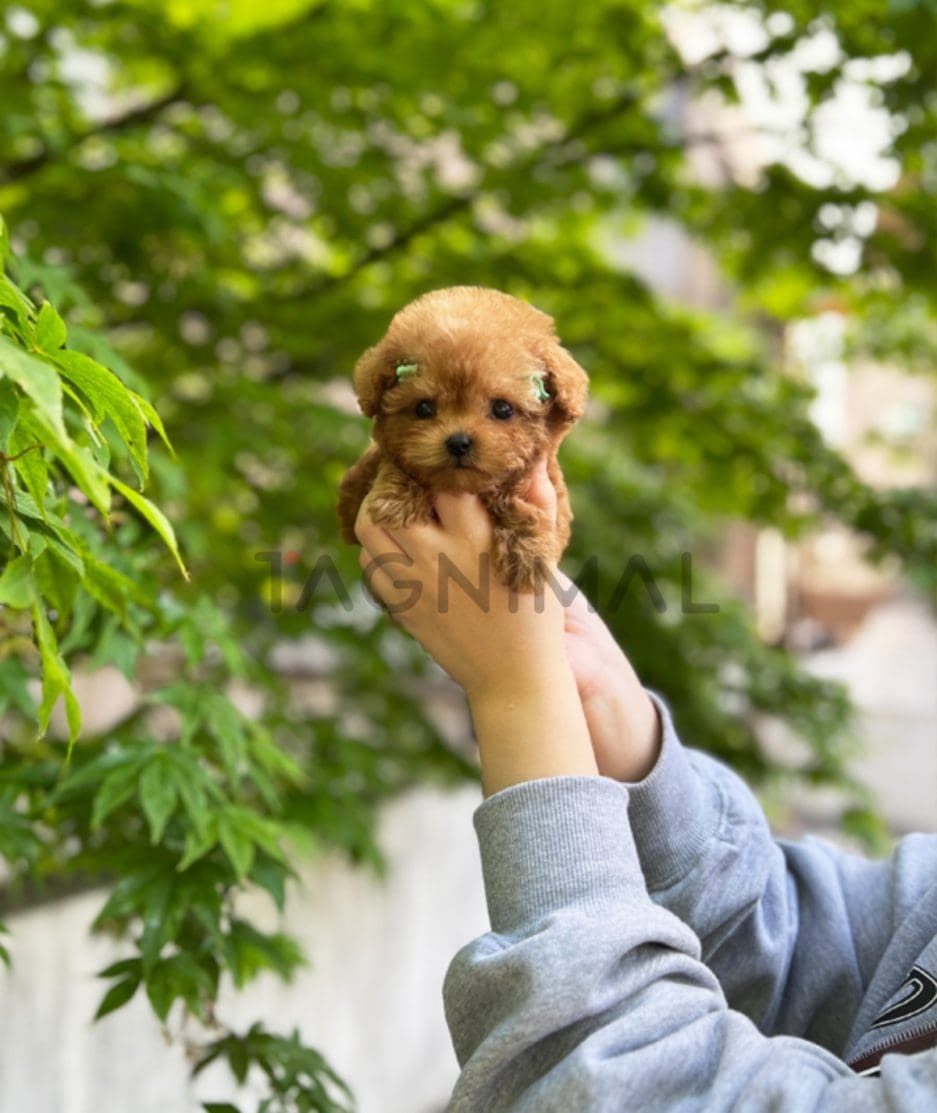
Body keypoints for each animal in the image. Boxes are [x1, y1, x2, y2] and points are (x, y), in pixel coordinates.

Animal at [336, 287, 583, 596]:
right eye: (424, 408)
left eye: (503, 409)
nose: (458, 443)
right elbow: (394, 463)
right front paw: (398, 500)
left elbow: (522, 501)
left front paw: (529, 553)